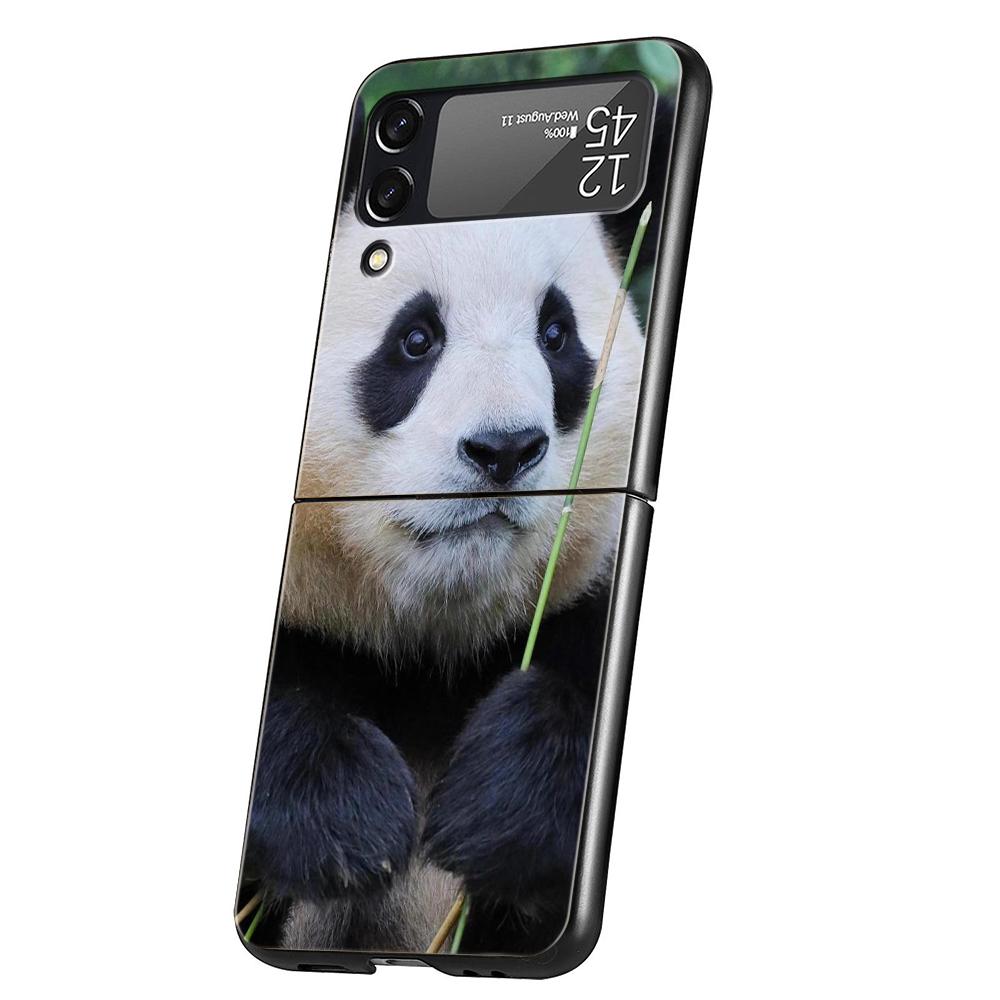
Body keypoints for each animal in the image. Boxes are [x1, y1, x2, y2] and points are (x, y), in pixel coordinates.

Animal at [241, 200, 649, 955]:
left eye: (556, 335)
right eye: (416, 339)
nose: (505, 449)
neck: (430, 649)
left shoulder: (583, 601)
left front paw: (499, 807)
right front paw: (348, 825)